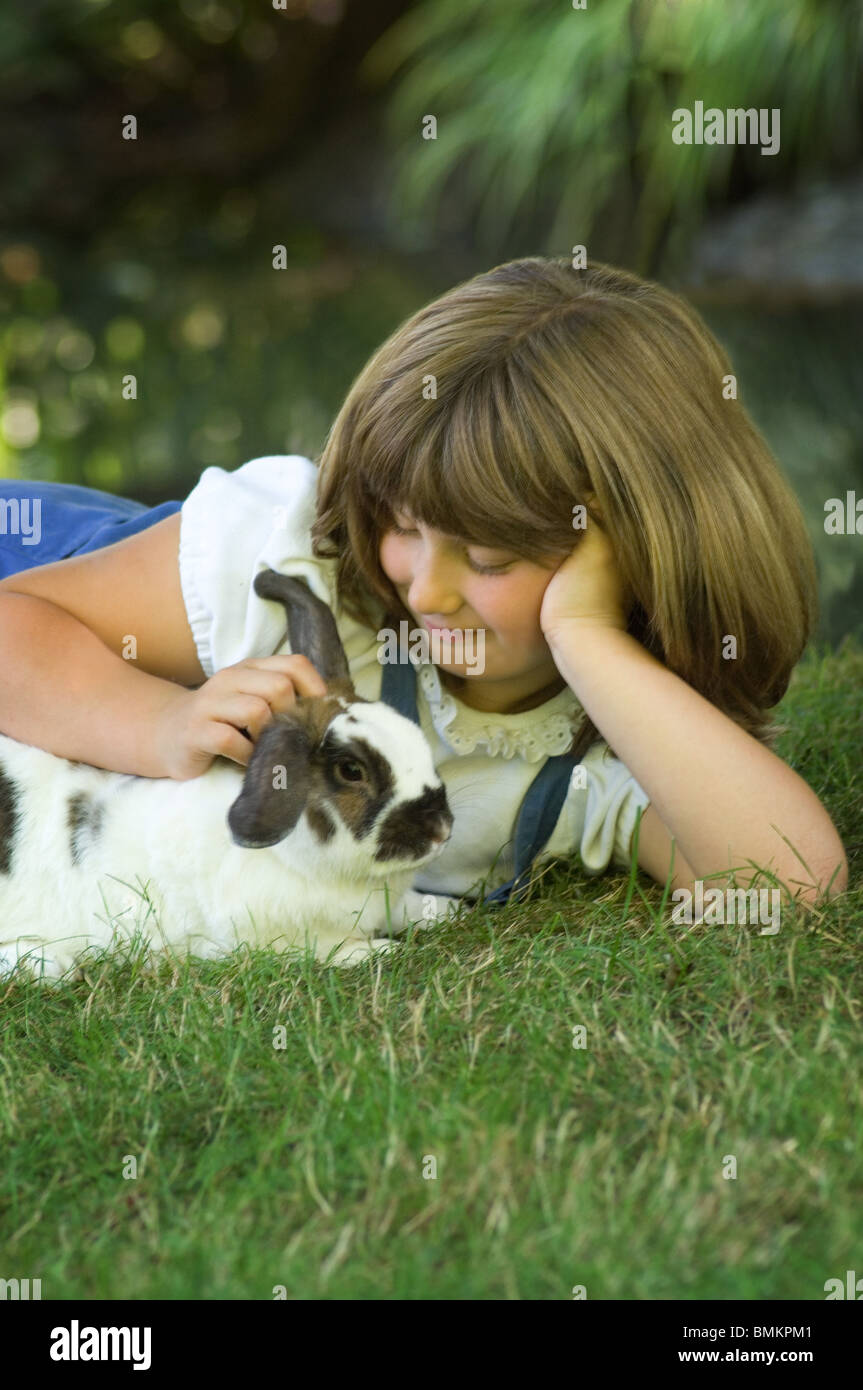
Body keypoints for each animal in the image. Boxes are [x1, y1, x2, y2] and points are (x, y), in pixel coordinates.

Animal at [0, 569, 458, 984]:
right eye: (351, 770)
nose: (441, 828)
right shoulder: (268, 939)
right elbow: (328, 950)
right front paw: (380, 951)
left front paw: (443, 910)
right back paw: (49, 965)